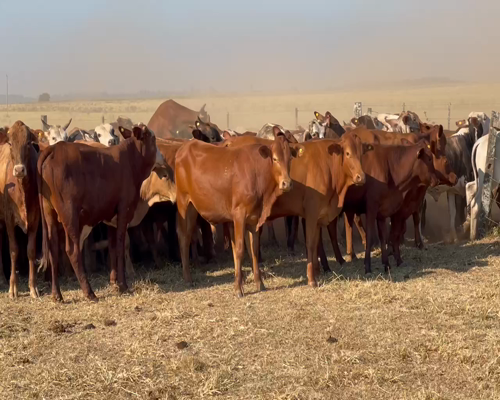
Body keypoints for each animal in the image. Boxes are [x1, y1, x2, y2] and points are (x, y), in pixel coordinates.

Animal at [38, 123, 159, 298]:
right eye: (153, 138)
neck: (129, 160)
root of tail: (54, 149)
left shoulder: (111, 219)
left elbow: (113, 247)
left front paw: (115, 282)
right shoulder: (124, 211)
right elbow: (121, 246)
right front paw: (123, 285)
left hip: (49, 214)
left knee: (54, 250)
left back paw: (57, 295)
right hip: (70, 215)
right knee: (72, 250)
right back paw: (89, 292)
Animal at [176, 136, 300, 296]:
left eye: (290, 158)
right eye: (275, 158)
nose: (287, 183)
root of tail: (186, 145)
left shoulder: (254, 219)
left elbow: (254, 250)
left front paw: (259, 283)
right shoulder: (239, 216)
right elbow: (240, 250)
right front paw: (238, 288)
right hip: (184, 204)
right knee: (184, 237)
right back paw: (187, 278)